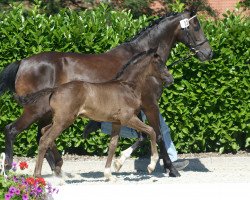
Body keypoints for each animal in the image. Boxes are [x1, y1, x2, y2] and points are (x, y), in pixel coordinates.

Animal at [18, 48, 172, 180]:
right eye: (159, 63)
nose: (171, 79)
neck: (127, 86)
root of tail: (55, 90)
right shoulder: (128, 118)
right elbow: (151, 131)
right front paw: (151, 165)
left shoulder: (116, 122)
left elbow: (112, 145)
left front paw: (109, 174)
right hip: (64, 120)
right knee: (45, 140)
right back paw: (39, 174)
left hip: (59, 120)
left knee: (44, 132)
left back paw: (58, 167)